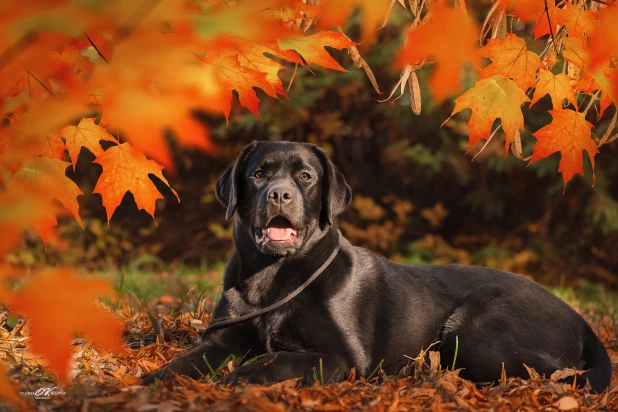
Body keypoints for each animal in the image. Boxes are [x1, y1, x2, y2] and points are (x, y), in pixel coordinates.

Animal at [142, 140, 608, 392]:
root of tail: (580, 317)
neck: (273, 281)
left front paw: (236, 379)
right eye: (258, 173)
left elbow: (274, 361)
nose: (279, 195)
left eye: (306, 176)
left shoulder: (341, 356)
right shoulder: (222, 339)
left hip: (473, 332)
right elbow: (187, 361)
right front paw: (150, 380)